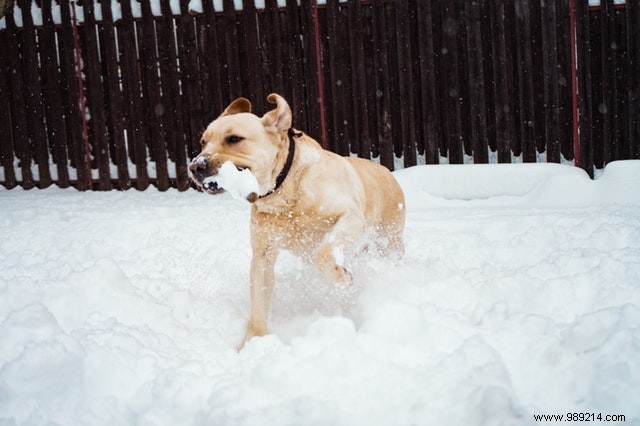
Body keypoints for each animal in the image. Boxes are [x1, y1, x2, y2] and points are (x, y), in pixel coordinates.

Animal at [188, 92, 404, 346]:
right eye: (203, 142)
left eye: (234, 139)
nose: (195, 166)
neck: (284, 191)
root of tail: (386, 171)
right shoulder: (263, 255)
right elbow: (258, 301)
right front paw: (253, 343)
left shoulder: (351, 216)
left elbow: (324, 253)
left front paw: (343, 280)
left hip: (389, 240)